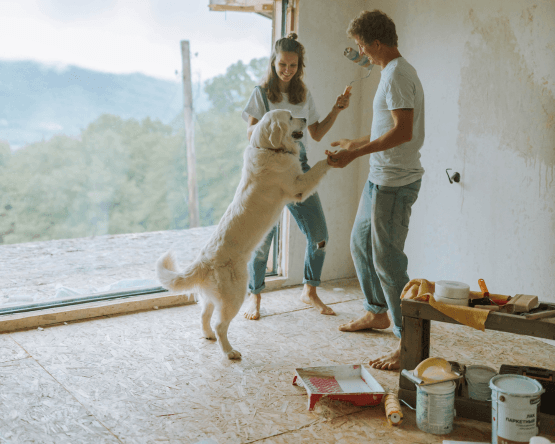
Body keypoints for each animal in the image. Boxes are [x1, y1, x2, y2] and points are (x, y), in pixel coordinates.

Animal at [154, 109, 332, 360]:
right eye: (289, 117)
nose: (306, 119)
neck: (268, 148)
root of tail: (204, 262)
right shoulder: (298, 186)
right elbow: (317, 168)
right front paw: (335, 156)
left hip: (212, 297)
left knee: (204, 316)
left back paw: (208, 336)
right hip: (236, 295)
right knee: (220, 325)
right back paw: (230, 352)